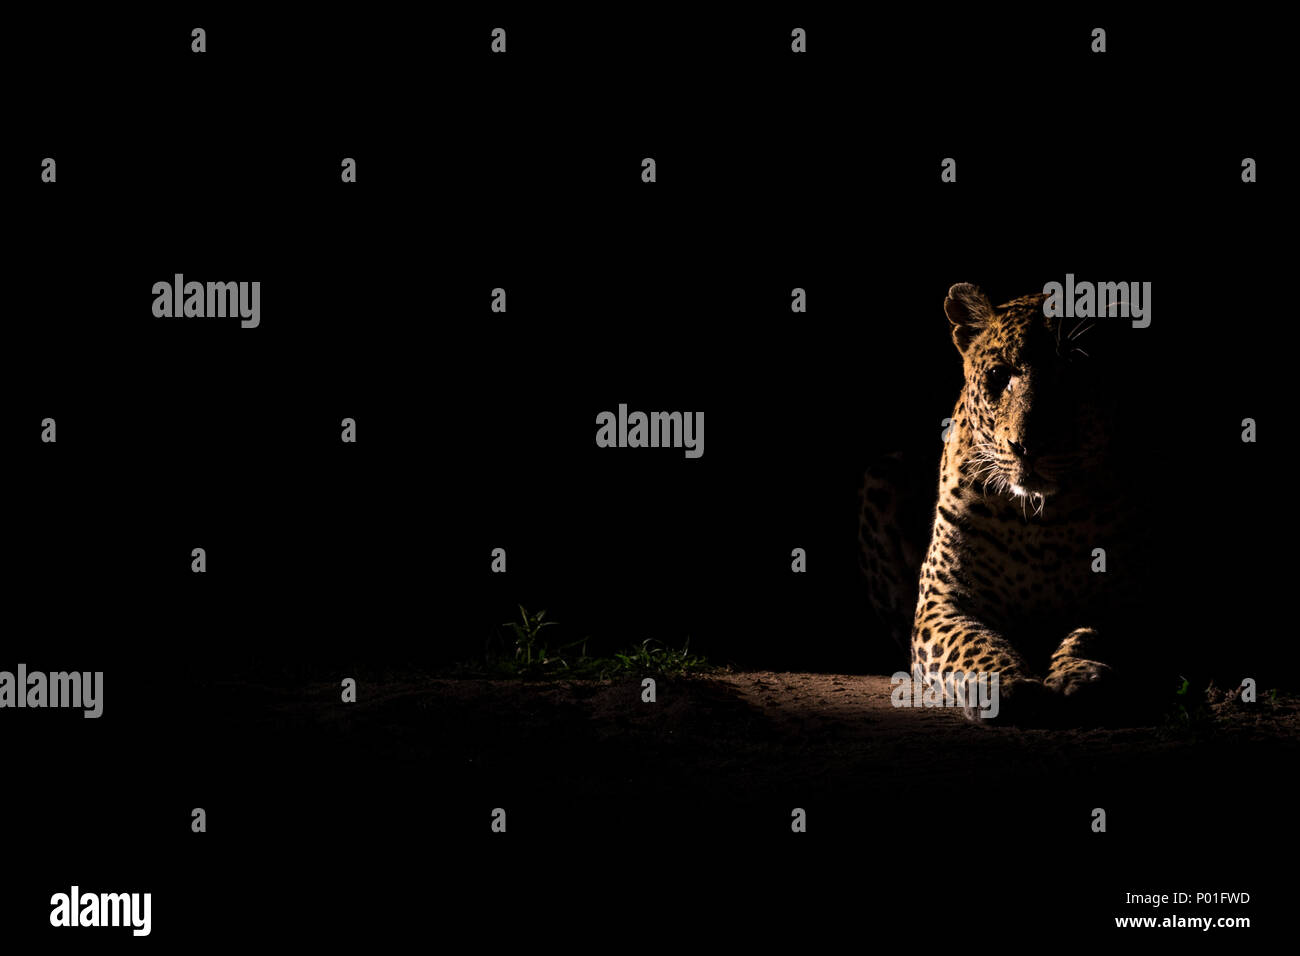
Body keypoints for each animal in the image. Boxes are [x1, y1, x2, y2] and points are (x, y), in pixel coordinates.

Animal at [859, 282, 1153, 725]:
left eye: (1075, 373)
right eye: (999, 375)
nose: (1027, 445)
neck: (1040, 519)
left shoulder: (1125, 598)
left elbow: (1090, 636)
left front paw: (1080, 675)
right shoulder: (942, 602)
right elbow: (971, 642)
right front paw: (1004, 684)